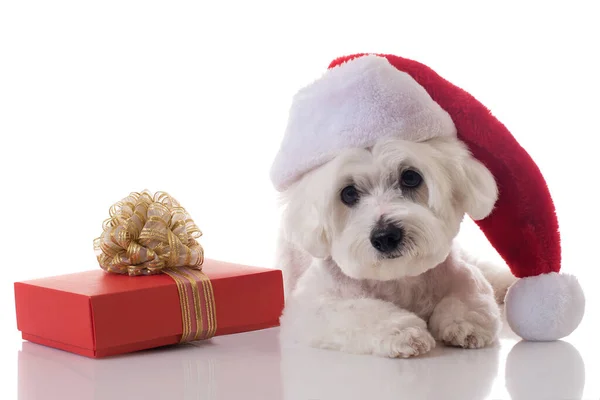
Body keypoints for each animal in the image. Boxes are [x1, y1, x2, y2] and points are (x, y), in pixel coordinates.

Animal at [276, 136, 516, 358]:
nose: (385, 237)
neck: (398, 279)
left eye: (410, 177)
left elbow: (470, 288)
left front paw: (463, 322)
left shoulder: (457, 271)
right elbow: (361, 310)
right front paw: (403, 331)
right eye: (348, 193)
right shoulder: (311, 304)